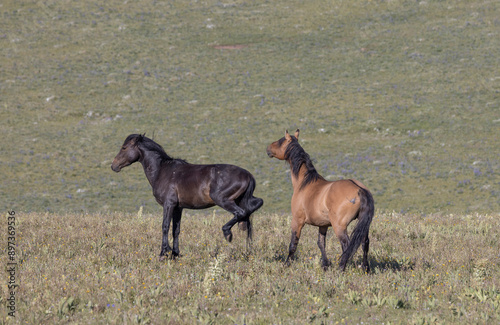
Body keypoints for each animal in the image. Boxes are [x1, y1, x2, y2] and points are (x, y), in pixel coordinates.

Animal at [112, 133, 264, 260]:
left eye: (124, 147)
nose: (114, 166)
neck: (162, 171)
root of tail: (248, 175)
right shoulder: (178, 208)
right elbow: (176, 230)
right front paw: (175, 253)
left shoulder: (169, 205)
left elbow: (165, 226)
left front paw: (163, 253)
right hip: (239, 200)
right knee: (250, 215)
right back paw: (247, 248)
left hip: (223, 200)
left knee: (242, 212)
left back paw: (228, 233)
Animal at [268, 129, 374, 270]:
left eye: (280, 141)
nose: (268, 148)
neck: (304, 183)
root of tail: (359, 189)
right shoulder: (323, 225)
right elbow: (321, 243)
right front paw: (325, 265)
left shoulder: (297, 221)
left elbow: (293, 244)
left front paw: (286, 264)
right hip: (362, 225)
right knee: (364, 243)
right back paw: (366, 268)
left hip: (339, 227)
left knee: (346, 245)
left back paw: (341, 269)